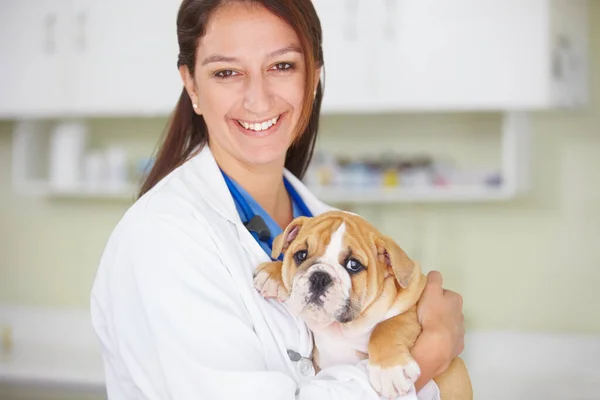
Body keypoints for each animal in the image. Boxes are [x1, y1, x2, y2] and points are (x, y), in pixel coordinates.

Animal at [251, 211, 472, 398]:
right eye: (301, 255)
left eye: (353, 265)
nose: (320, 277)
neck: (343, 328)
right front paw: (273, 273)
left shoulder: (413, 302)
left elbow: (387, 327)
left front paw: (389, 371)